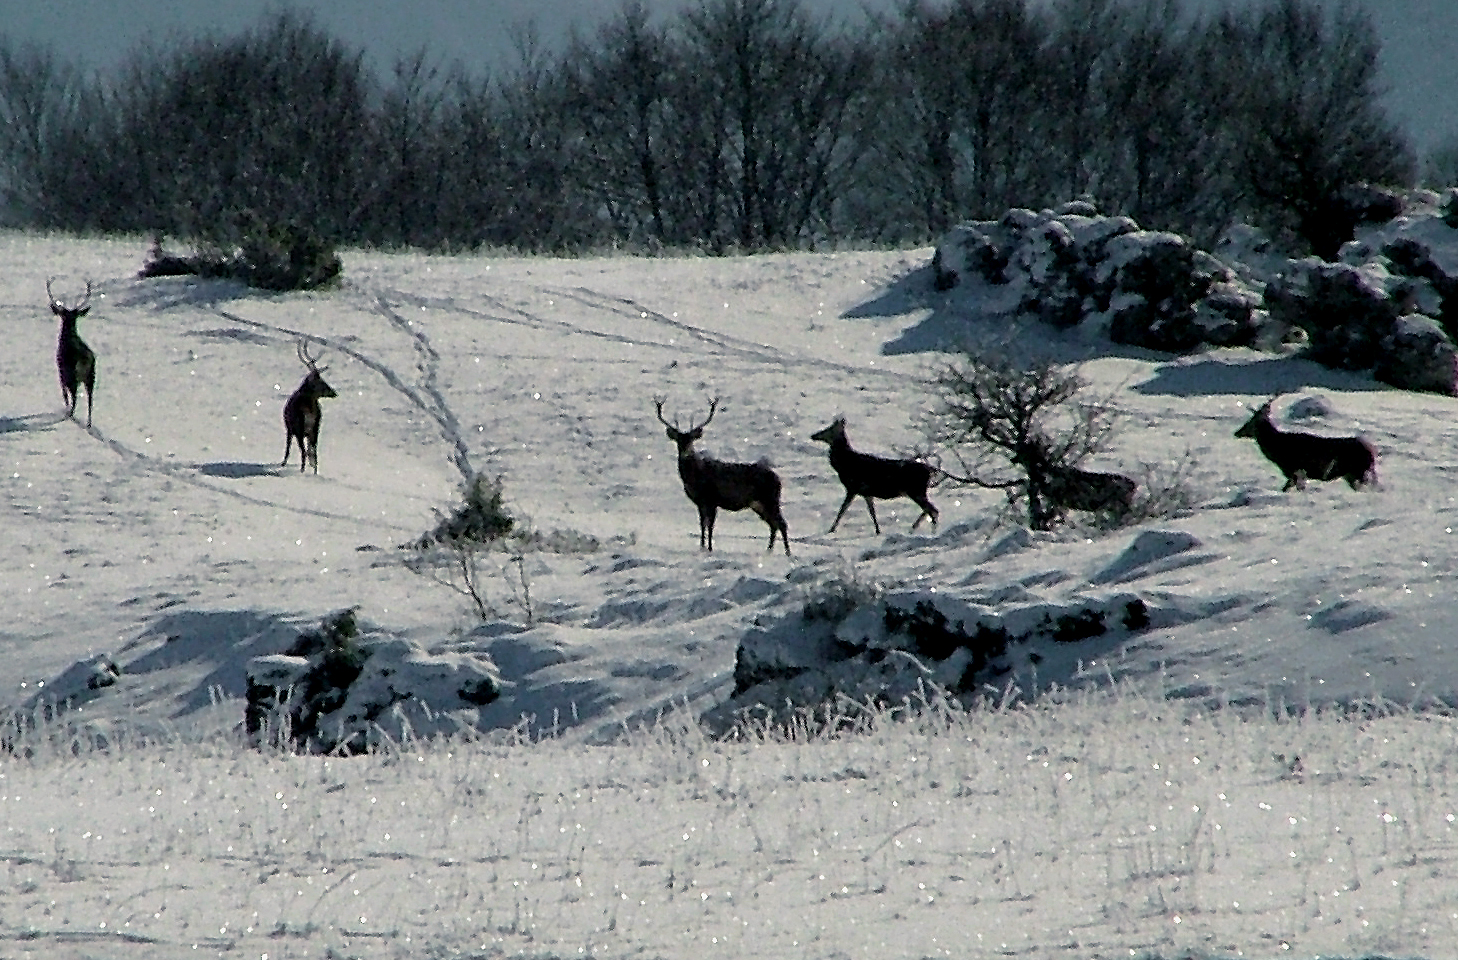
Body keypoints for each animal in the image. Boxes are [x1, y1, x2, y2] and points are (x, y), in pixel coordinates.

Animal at [47, 277, 97, 426]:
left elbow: (64, 394)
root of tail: (85, 359)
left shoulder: (61, 370)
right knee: (90, 399)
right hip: (91, 376)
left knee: (74, 397)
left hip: (72, 375)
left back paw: (70, 415)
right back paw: (88, 423)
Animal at [279, 338, 336, 472]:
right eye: (322, 382)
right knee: (314, 451)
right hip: (315, 428)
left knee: (304, 451)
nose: (334, 392)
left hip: (300, 428)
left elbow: (288, 447)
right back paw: (314, 471)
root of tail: (309, 411)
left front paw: (283, 463)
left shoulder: (289, 428)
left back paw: (302, 470)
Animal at [804, 414, 938, 531]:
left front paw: (831, 530)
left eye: (829, 429)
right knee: (929, 510)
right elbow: (872, 512)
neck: (844, 463)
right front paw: (878, 531)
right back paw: (915, 528)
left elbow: (842, 510)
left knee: (933, 510)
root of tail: (931, 470)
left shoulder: (852, 487)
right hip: (917, 491)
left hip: (916, 491)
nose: (813, 435)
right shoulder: (866, 492)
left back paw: (928, 531)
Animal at [1230, 396, 1376, 490]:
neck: (1277, 446)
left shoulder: (1295, 469)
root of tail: (1372, 452)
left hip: (1359, 471)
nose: (1237, 432)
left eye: (1250, 421)